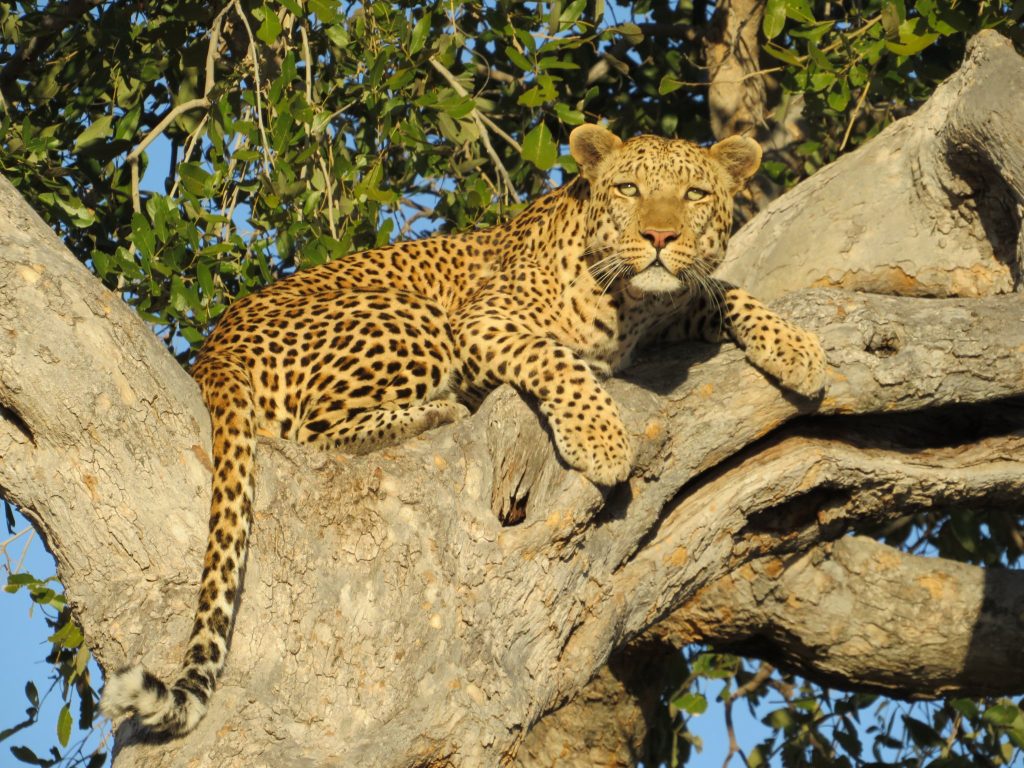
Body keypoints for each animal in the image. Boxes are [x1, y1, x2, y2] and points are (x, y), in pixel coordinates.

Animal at [100, 123, 826, 735]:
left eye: (695, 194)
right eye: (629, 189)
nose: (658, 239)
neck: (635, 305)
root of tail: (212, 350)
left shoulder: (672, 307)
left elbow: (724, 291)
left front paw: (799, 348)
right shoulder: (485, 319)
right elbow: (558, 358)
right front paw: (600, 438)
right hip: (413, 317)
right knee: (312, 430)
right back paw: (444, 410)